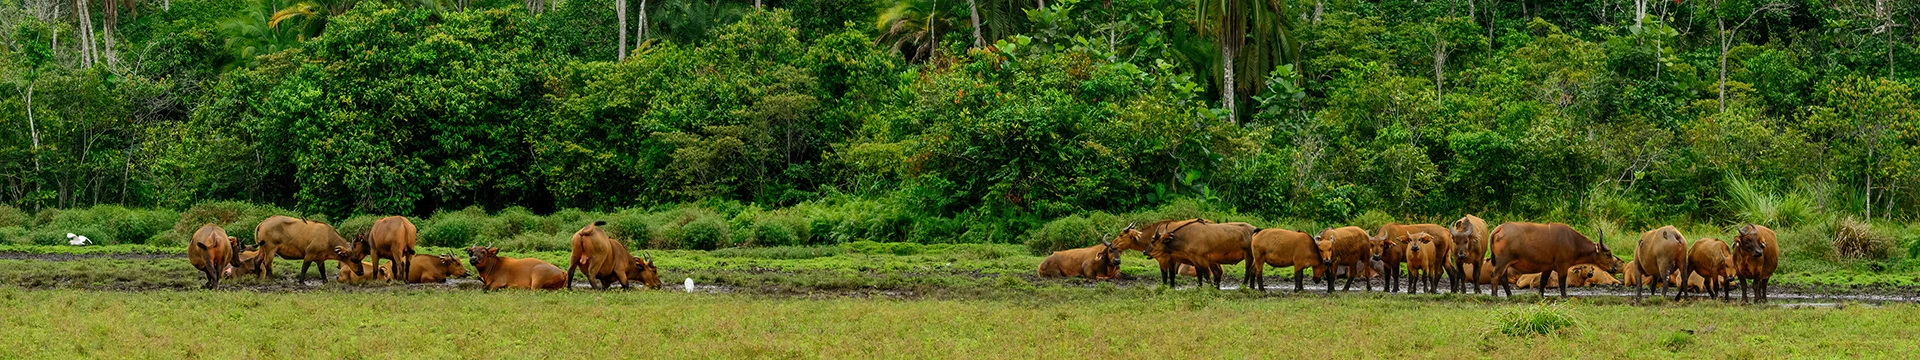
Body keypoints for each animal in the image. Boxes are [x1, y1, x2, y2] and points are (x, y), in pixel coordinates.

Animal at [1482, 222, 1620, 298]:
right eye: (1608, 254)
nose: (1614, 268)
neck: (1573, 241)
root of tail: (1499, 228)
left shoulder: (1547, 267)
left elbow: (1543, 281)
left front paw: (1541, 296)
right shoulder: (1563, 265)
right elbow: (1562, 282)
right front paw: (1564, 297)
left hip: (1504, 263)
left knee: (1503, 278)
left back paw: (1510, 295)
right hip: (1502, 261)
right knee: (1495, 275)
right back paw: (1494, 296)